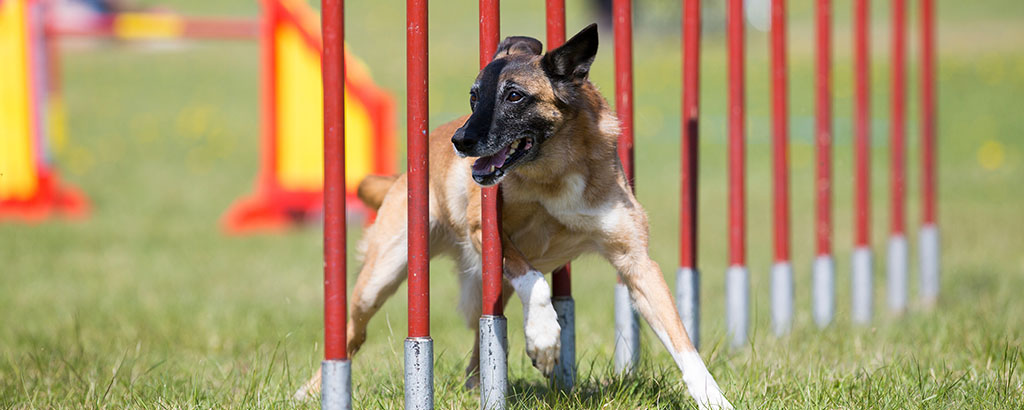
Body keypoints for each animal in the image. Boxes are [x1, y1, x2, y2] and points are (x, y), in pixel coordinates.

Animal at [299, 25, 733, 410]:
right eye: (474, 97)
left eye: (513, 96)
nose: (461, 142)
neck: (555, 170)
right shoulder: (490, 234)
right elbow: (535, 280)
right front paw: (544, 339)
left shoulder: (636, 263)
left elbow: (682, 341)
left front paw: (714, 399)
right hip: (382, 275)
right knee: (352, 335)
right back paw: (313, 391)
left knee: (482, 339)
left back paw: (478, 387)